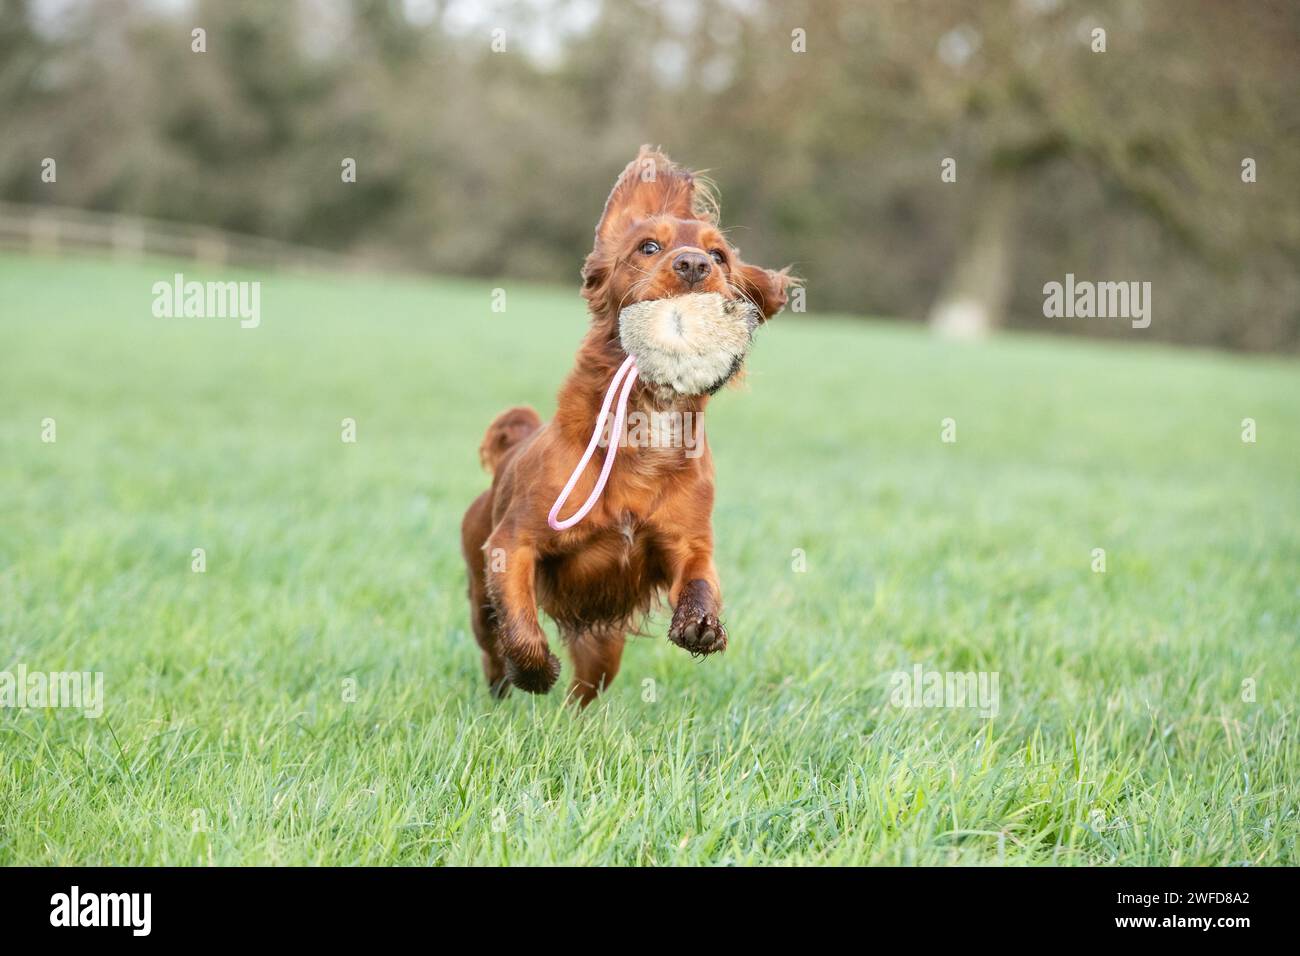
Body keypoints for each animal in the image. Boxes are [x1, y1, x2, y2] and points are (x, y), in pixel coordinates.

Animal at [465, 147, 790, 702]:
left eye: (720, 255)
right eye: (648, 246)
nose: (693, 263)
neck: (646, 418)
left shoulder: (687, 541)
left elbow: (701, 577)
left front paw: (701, 623)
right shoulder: (512, 542)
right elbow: (521, 624)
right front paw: (533, 670)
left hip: (604, 642)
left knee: (585, 690)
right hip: (478, 588)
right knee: (492, 646)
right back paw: (505, 687)